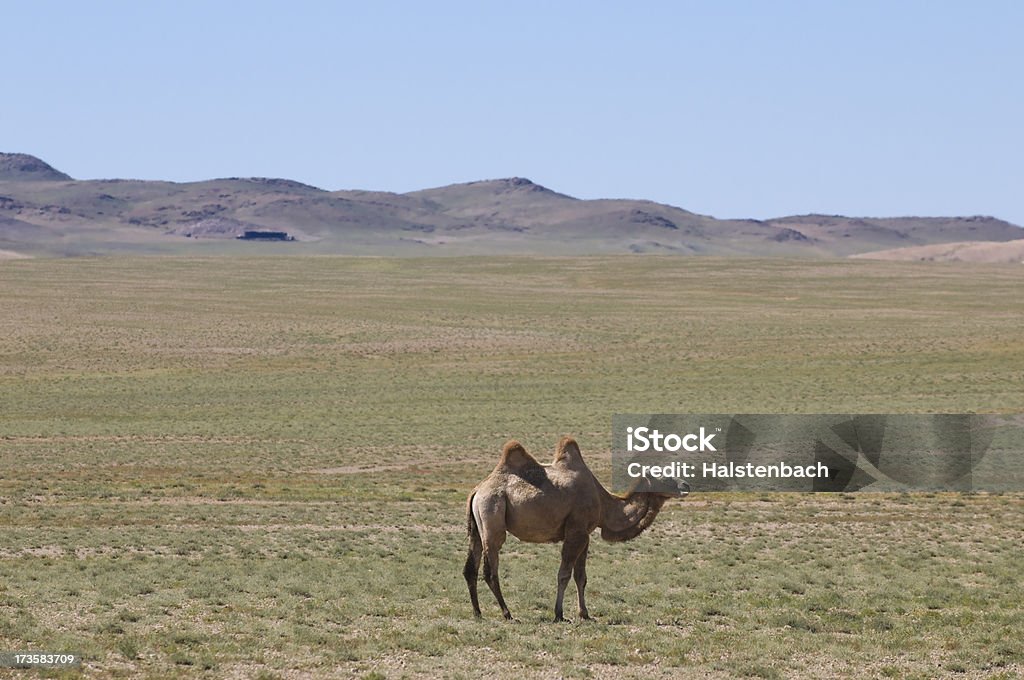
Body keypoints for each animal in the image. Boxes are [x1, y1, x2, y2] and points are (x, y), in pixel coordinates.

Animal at [466, 436, 688, 622]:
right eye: (663, 476)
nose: (685, 485)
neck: (603, 504)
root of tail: (477, 491)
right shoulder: (576, 531)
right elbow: (564, 574)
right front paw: (559, 614)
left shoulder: (585, 536)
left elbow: (581, 577)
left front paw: (585, 614)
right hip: (492, 513)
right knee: (490, 570)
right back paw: (507, 613)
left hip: (477, 527)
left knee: (470, 568)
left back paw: (478, 613)